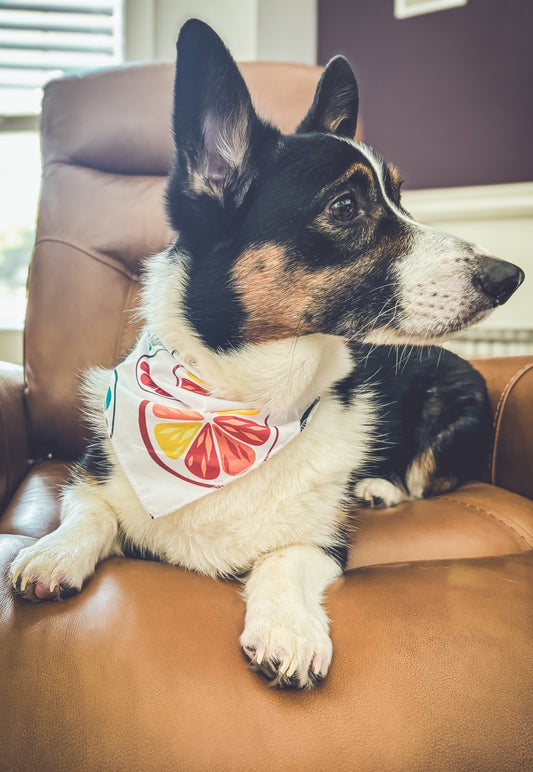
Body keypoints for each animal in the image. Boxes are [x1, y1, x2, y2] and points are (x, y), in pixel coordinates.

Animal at [9, 21, 524, 692]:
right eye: (345, 207)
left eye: (401, 198)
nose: (512, 277)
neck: (243, 402)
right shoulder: (89, 478)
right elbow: (87, 515)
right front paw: (52, 554)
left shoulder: (321, 544)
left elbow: (284, 559)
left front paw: (290, 630)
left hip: (456, 412)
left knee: (419, 480)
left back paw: (377, 488)